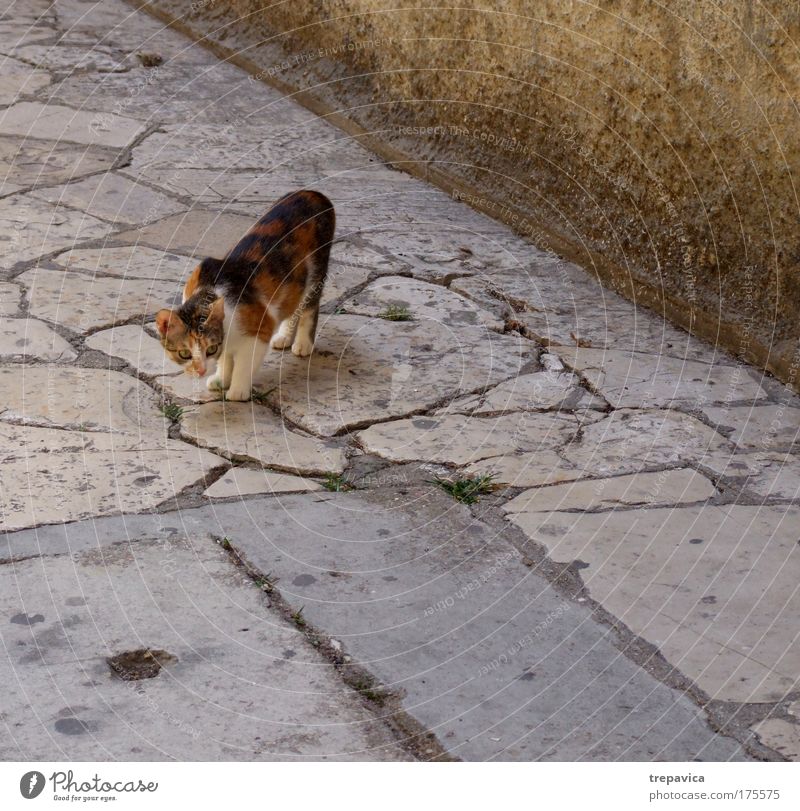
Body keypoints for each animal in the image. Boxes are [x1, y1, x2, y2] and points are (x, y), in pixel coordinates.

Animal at [156, 188, 334, 402]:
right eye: (184, 353)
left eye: (210, 349)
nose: (201, 371)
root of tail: (313, 193)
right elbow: (226, 358)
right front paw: (220, 379)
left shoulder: (259, 330)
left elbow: (244, 364)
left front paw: (237, 391)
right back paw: (284, 337)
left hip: (316, 269)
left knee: (309, 306)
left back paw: (302, 343)